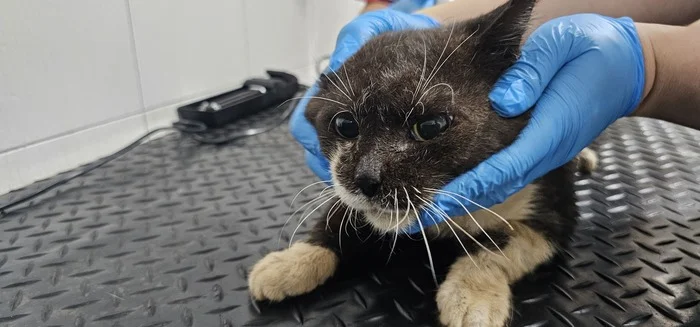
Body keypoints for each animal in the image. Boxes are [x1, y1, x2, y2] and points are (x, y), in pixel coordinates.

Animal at [246, 1, 596, 326]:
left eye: (430, 126)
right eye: (345, 125)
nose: (366, 178)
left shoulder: (550, 213)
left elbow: (495, 245)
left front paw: (471, 297)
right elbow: (335, 217)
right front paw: (290, 263)